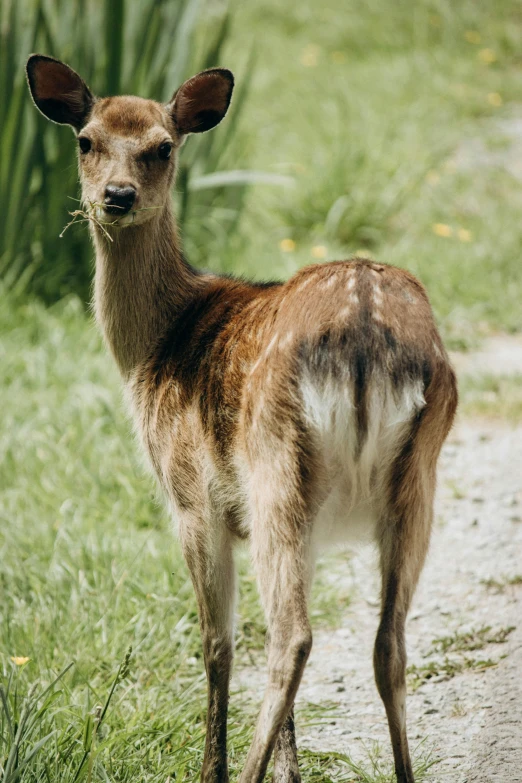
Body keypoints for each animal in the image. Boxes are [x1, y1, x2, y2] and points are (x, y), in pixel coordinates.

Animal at [25, 55, 456, 783]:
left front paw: (217, 768)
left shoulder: (191, 496)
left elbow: (217, 644)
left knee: (292, 637)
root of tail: (366, 333)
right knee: (389, 641)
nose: (116, 196)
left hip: (277, 463)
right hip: (415, 480)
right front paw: (290, 769)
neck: (155, 345)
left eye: (162, 147)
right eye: (86, 140)